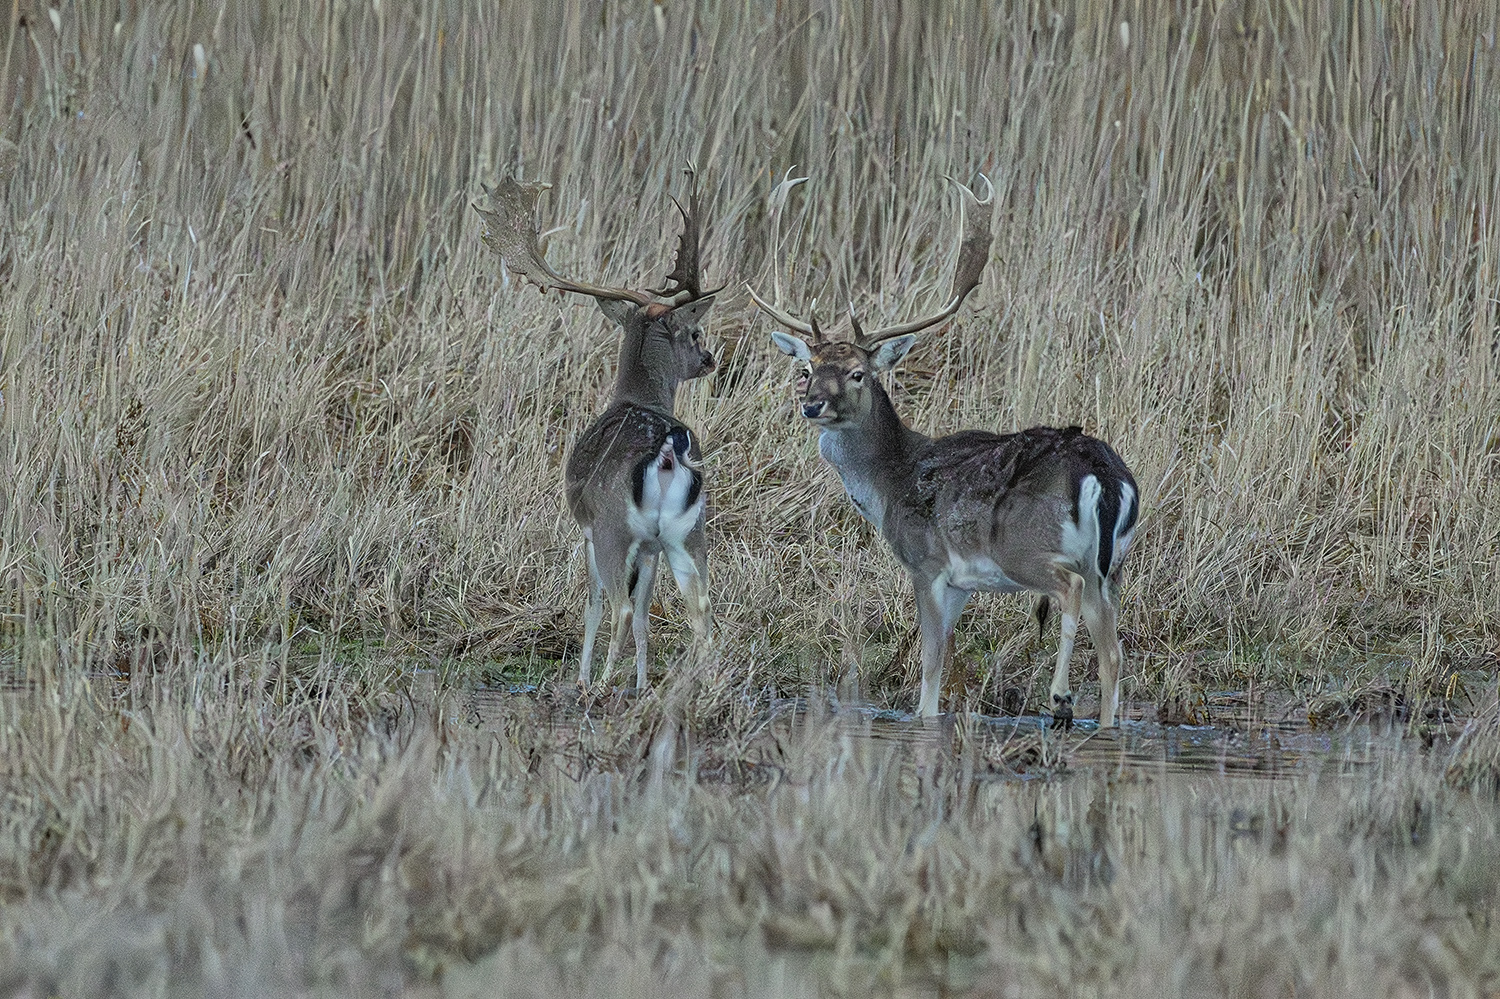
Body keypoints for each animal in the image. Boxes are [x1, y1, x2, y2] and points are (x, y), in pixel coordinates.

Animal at [477, 167, 717, 690]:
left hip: (613, 526)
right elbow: (648, 613)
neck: (635, 397)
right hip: (687, 531)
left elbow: (590, 607)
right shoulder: (650, 547)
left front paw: (585, 675)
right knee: (699, 611)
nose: (710, 358)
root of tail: (667, 448)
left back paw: (599, 685)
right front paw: (642, 683)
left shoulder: (586, 528)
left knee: (619, 607)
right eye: (694, 334)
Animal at [750, 174, 1134, 723]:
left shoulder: (926, 563)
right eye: (806, 368)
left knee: (1069, 591)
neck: (891, 481)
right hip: (1115, 565)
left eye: (858, 373)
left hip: (1028, 547)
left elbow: (930, 668)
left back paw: (1060, 695)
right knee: (1112, 655)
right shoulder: (961, 583)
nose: (812, 404)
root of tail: (1103, 475)